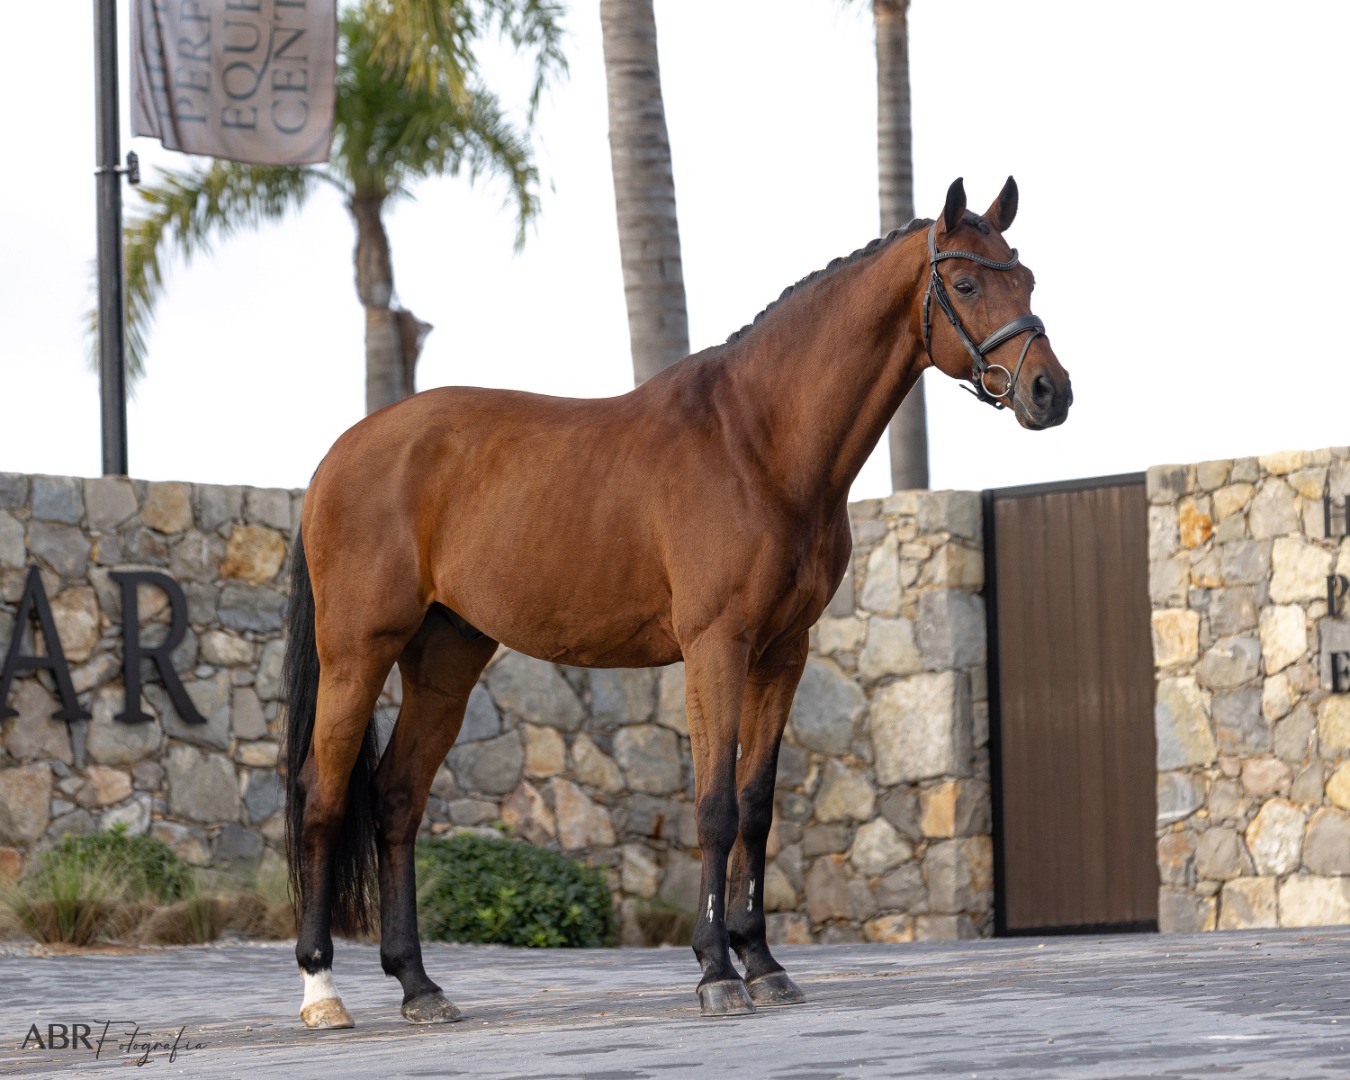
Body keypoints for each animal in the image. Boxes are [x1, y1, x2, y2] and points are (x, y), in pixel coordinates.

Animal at [282, 176, 1072, 1027]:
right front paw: (716, 972)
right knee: (324, 796)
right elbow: (716, 805)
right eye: (966, 285)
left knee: (396, 800)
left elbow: (756, 806)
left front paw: (764, 964)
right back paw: (322, 990)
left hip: (446, 656)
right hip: (358, 652)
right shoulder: (715, 646)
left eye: (1028, 281)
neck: (756, 443)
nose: (1049, 392)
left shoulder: (781, 654)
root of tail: (338, 457)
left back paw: (420, 986)